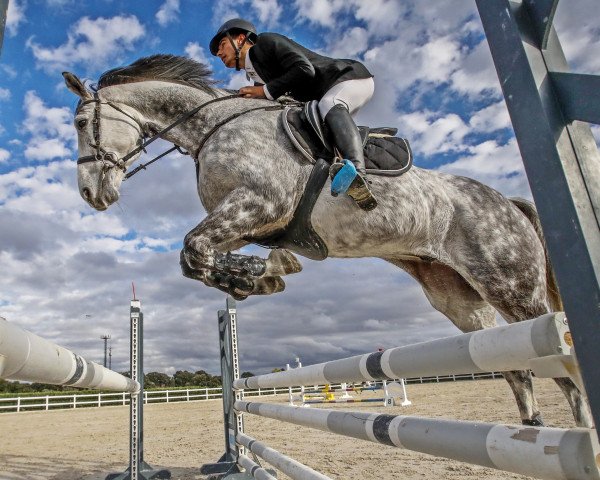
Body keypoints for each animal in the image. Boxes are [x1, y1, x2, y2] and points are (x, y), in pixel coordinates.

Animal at [62, 55, 592, 428]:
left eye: (79, 124)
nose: (91, 195)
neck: (213, 129)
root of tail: (510, 203)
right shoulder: (243, 222)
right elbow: (197, 258)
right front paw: (256, 275)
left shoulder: (257, 205)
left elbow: (193, 251)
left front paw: (259, 276)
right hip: (460, 301)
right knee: (516, 368)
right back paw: (532, 432)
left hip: (513, 289)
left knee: (561, 363)